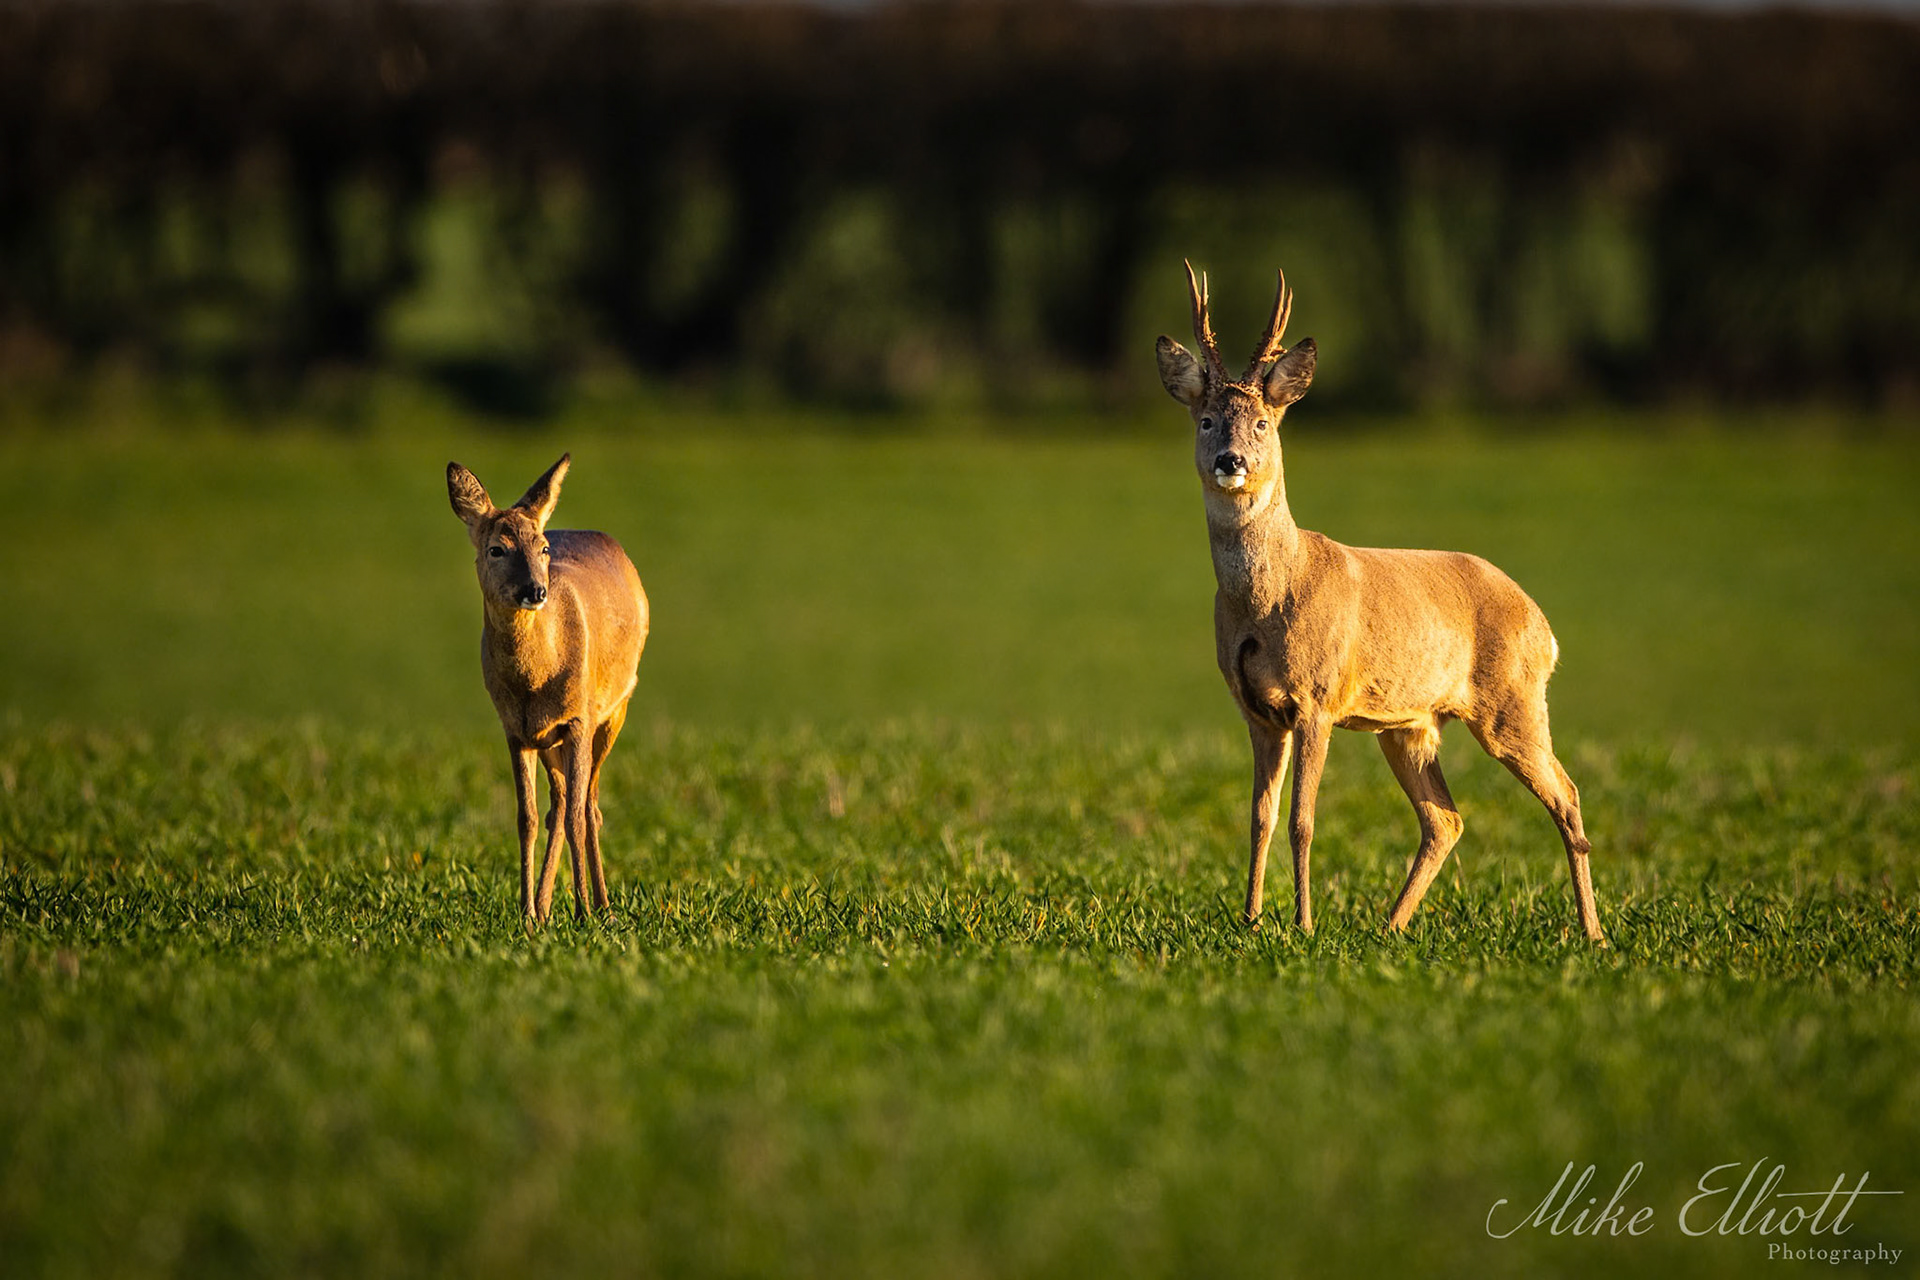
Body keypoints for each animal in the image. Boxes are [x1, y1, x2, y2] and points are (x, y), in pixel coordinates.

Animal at [447, 454, 649, 925]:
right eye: (497, 549)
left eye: (542, 548)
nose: (535, 590)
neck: (535, 677)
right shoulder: (515, 731)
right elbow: (528, 818)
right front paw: (526, 914)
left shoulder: (578, 719)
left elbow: (576, 816)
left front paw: (583, 912)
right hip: (549, 741)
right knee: (559, 803)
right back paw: (543, 906)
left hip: (615, 709)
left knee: (589, 804)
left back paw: (602, 906)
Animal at [1155, 263, 1605, 943]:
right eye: (1206, 420)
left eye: (1263, 423)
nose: (1231, 460)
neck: (1269, 596)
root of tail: (1542, 624)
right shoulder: (1256, 711)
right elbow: (1259, 817)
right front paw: (1251, 923)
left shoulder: (1316, 699)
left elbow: (1302, 820)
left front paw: (1303, 926)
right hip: (1411, 726)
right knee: (1445, 818)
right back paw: (1389, 927)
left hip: (1513, 702)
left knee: (1567, 793)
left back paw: (1593, 933)